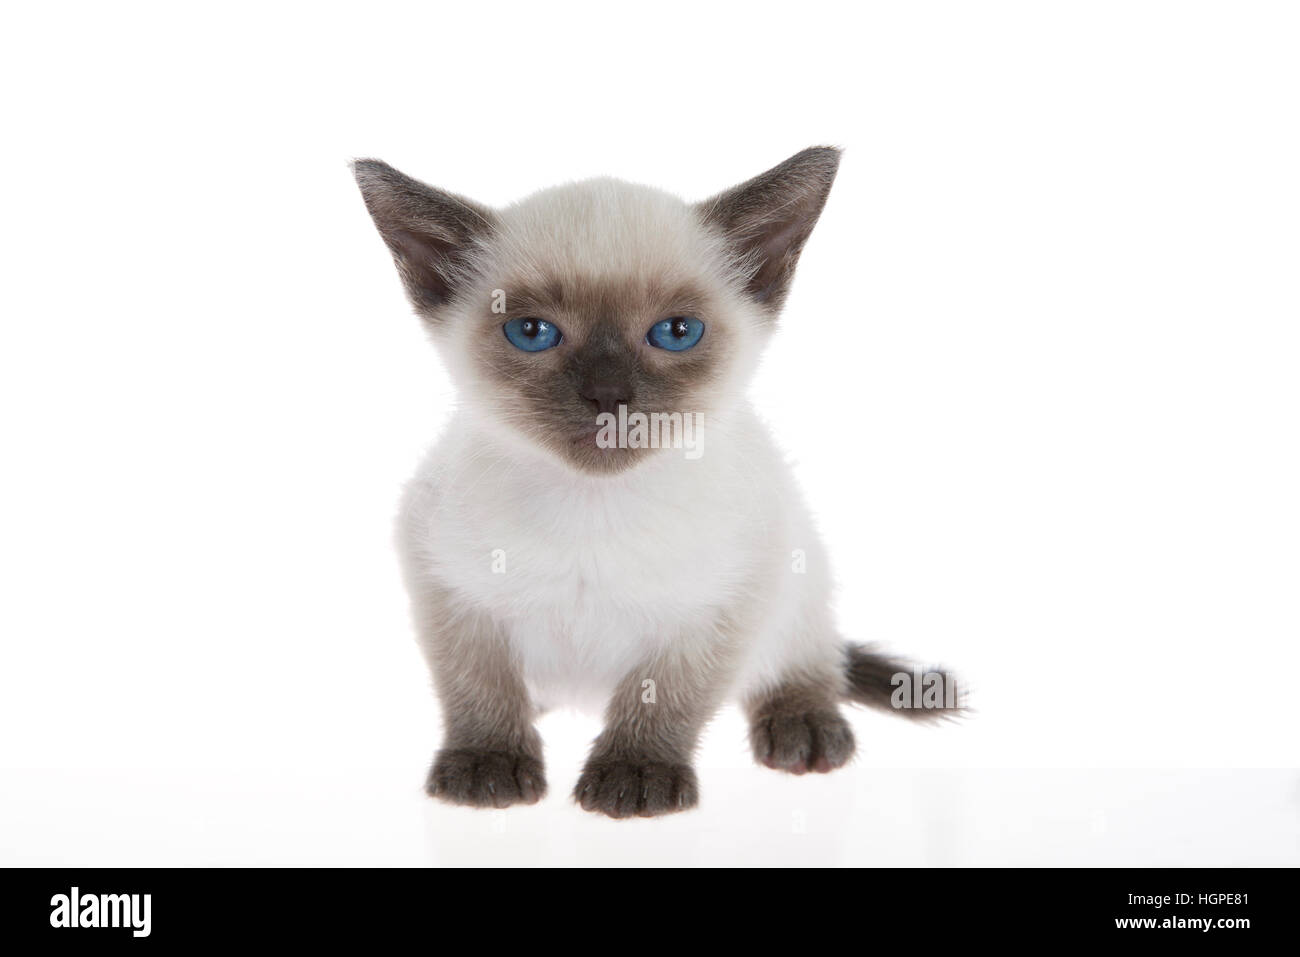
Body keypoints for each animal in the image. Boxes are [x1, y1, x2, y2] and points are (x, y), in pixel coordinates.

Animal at [353, 145, 956, 816]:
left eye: (676, 332)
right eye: (531, 332)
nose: (608, 394)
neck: (591, 507)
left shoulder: (721, 603)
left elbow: (665, 693)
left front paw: (636, 776)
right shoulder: (449, 589)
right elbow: (479, 686)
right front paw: (488, 765)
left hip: (799, 573)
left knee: (809, 662)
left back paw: (803, 729)